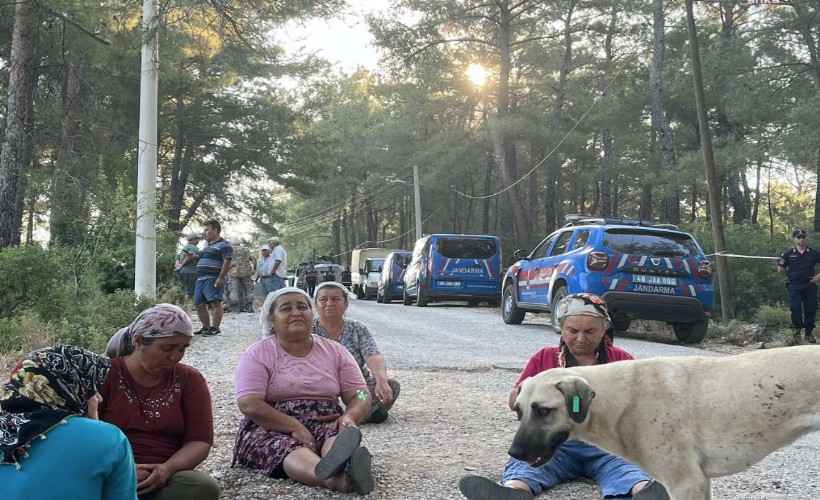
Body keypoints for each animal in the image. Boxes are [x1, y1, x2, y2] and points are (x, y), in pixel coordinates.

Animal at [512, 346, 820, 500]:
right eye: (518, 411)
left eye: (543, 411)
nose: (513, 453)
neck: (623, 400)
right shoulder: (701, 482)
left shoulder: (686, 483)